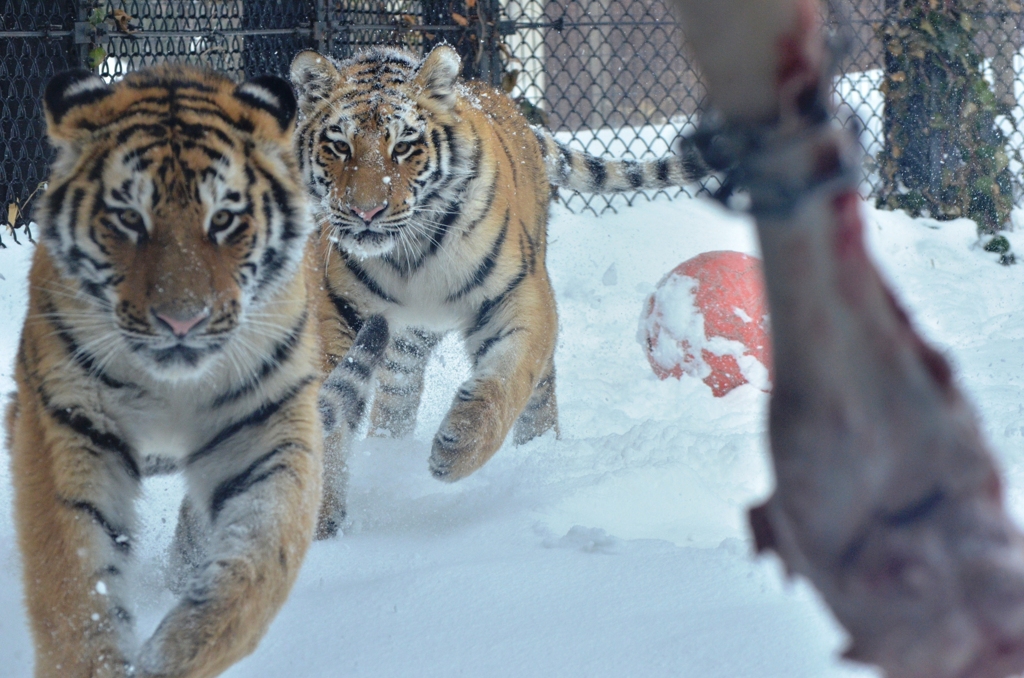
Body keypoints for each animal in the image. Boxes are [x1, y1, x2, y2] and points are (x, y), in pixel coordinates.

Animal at [6, 62, 327, 675]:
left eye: (223, 219)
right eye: (129, 218)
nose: (183, 320)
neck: (172, 387)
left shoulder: (267, 427)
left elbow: (256, 562)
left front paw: (173, 654)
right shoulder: (68, 424)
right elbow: (73, 582)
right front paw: (97, 662)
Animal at [288, 43, 704, 536]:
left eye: (403, 146)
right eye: (339, 145)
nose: (365, 212)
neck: (409, 257)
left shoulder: (517, 296)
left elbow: (507, 381)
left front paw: (457, 448)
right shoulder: (339, 315)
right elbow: (329, 419)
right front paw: (320, 521)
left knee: (540, 396)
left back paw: (540, 456)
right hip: (401, 345)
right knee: (396, 399)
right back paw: (390, 452)